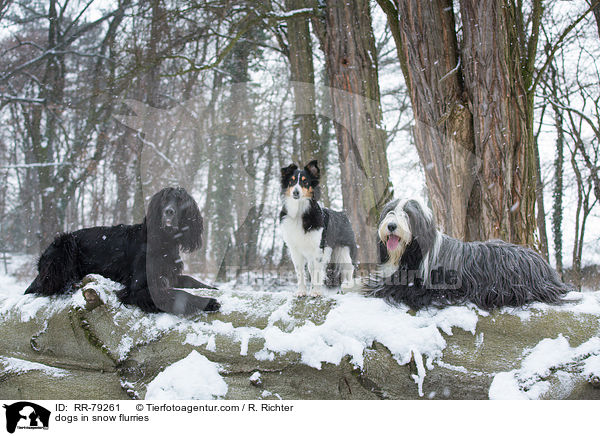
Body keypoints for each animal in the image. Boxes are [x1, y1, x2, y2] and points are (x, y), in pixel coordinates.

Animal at [25, 186, 220, 316]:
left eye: (179, 201)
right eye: (164, 200)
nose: (169, 212)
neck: (164, 239)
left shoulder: (166, 273)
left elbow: (189, 280)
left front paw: (211, 287)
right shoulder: (136, 288)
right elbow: (178, 294)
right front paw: (207, 302)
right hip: (65, 242)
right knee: (50, 285)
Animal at [280, 160, 356, 296]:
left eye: (305, 181)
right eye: (291, 181)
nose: (295, 192)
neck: (299, 211)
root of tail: (343, 214)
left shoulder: (318, 248)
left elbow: (317, 272)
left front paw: (316, 292)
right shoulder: (295, 249)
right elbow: (300, 272)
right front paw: (301, 292)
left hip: (344, 251)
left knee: (349, 268)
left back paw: (348, 286)